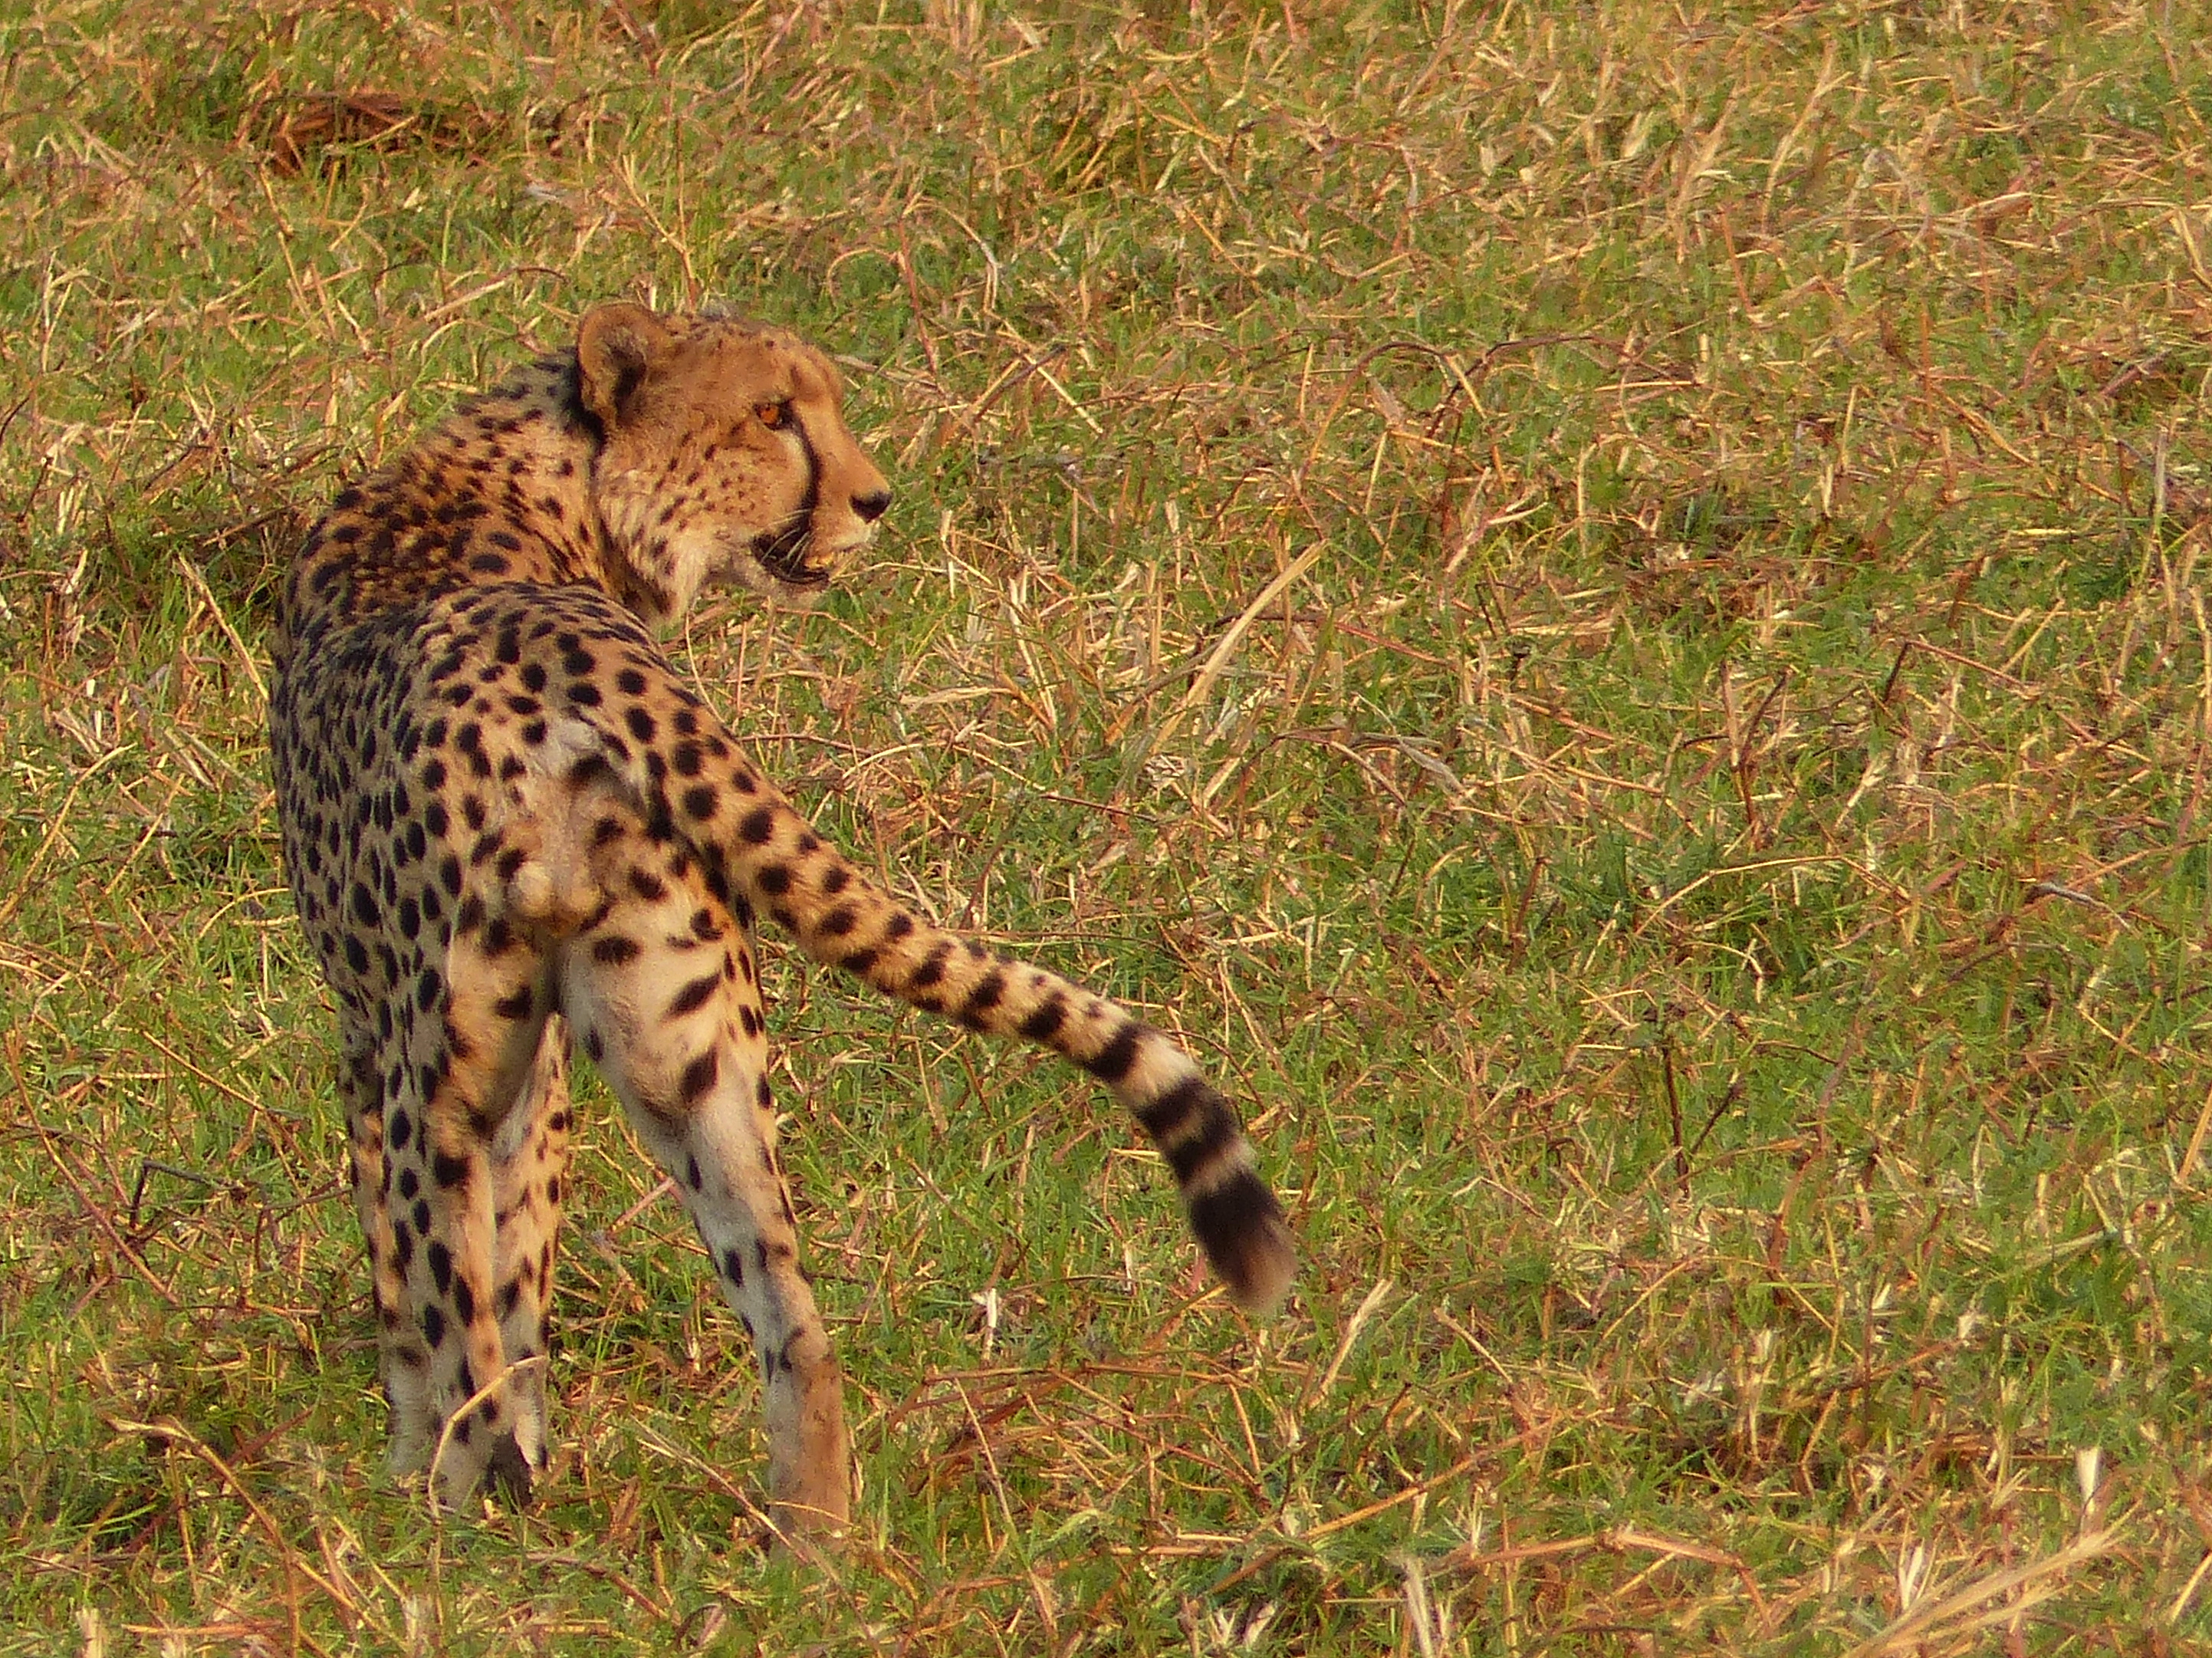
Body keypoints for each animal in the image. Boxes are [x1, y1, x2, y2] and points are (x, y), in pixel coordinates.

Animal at [267, 301, 1296, 1543]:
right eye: (771, 413)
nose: (875, 498)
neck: (552, 479)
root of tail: (564, 653)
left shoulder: (372, 1042)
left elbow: (414, 1290)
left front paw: (413, 1465)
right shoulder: (539, 1068)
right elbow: (525, 1273)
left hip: (446, 1069)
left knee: (457, 1314)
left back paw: (454, 1529)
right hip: (692, 1048)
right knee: (789, 1309)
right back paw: (811, 1545)